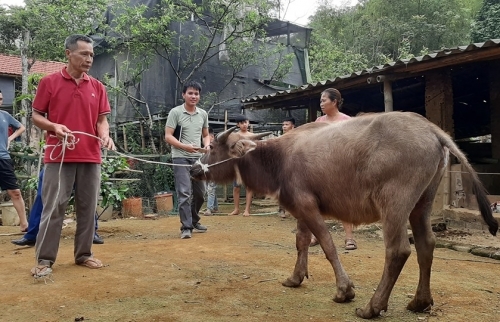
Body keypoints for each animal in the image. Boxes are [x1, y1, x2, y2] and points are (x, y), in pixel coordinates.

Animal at [189, 112, 498, 318]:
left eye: (211, 147)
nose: (193, 169)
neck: (279, 158)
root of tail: (433, 130)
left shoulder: (308, 207)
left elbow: (327, 245)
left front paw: (344, 290)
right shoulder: (300, 208)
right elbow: (302, 243)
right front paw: (295, 278)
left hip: (394, 205)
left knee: (398, 250)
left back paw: (373, 306)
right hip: (422, 204)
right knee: (426, 245)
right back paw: (420, 302)